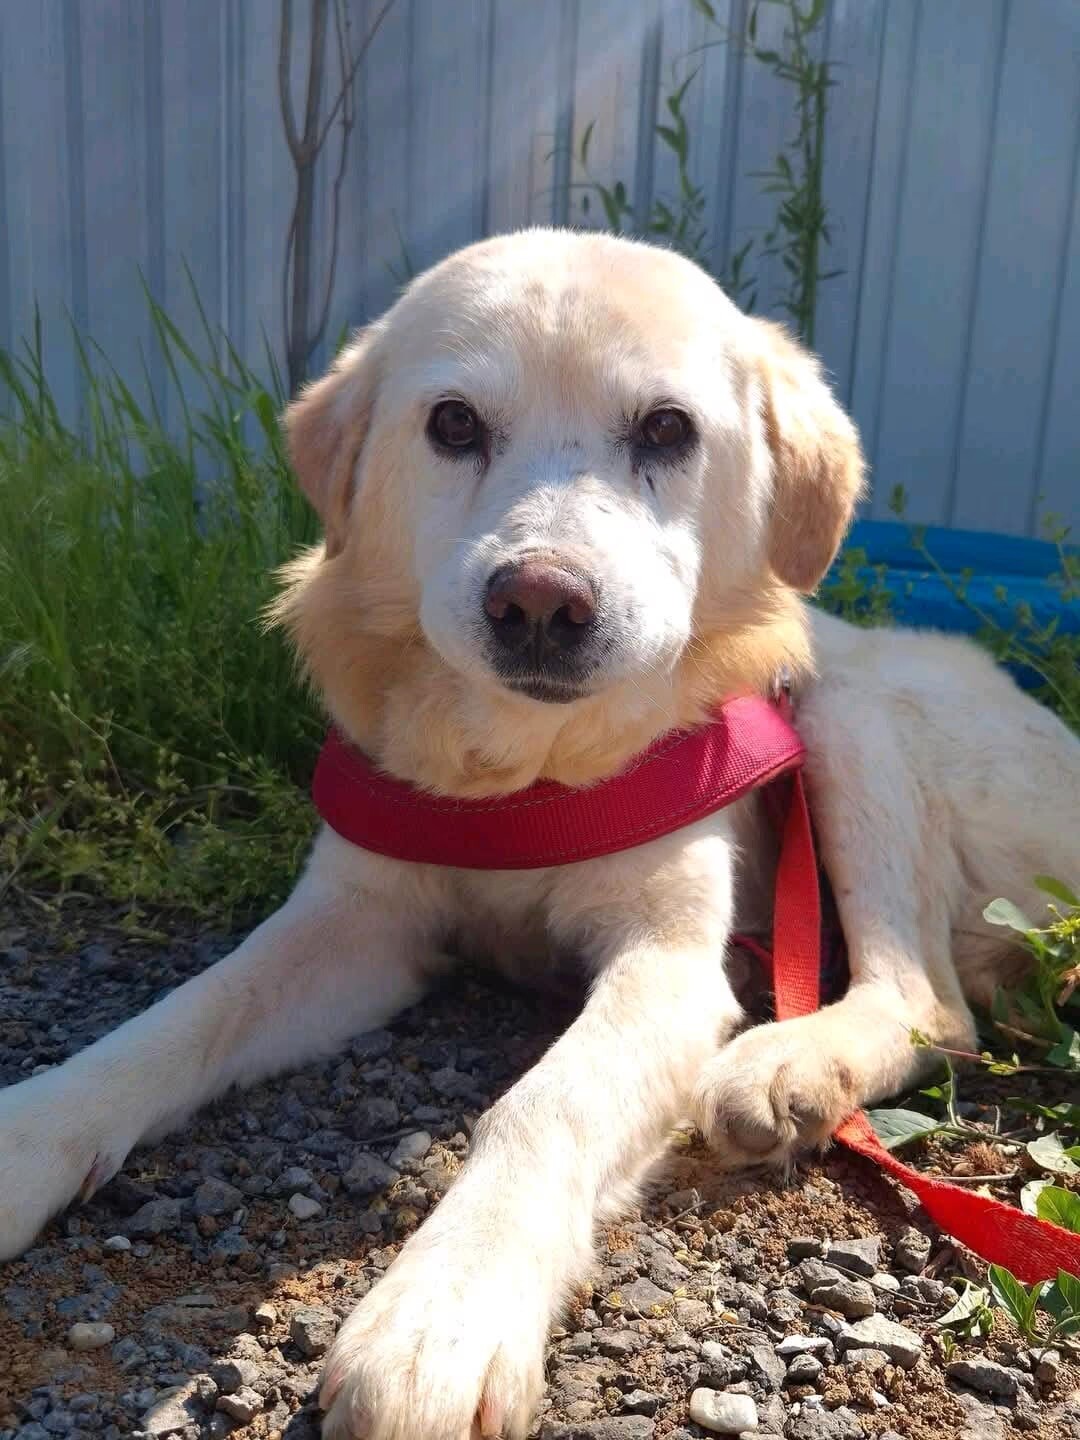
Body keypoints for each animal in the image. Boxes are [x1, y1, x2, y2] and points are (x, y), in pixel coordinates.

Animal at [1, 229, 1077, 1440]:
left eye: (666, 429)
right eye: (454, 423)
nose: (540, 604)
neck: (526, 775)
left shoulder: (670, 965)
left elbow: (542, 1106)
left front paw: (443, 1314)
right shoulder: (354, 925)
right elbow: (175, 1020)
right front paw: (26, 1136)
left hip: (845, 708)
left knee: (932, 1004)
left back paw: (790, 1064)